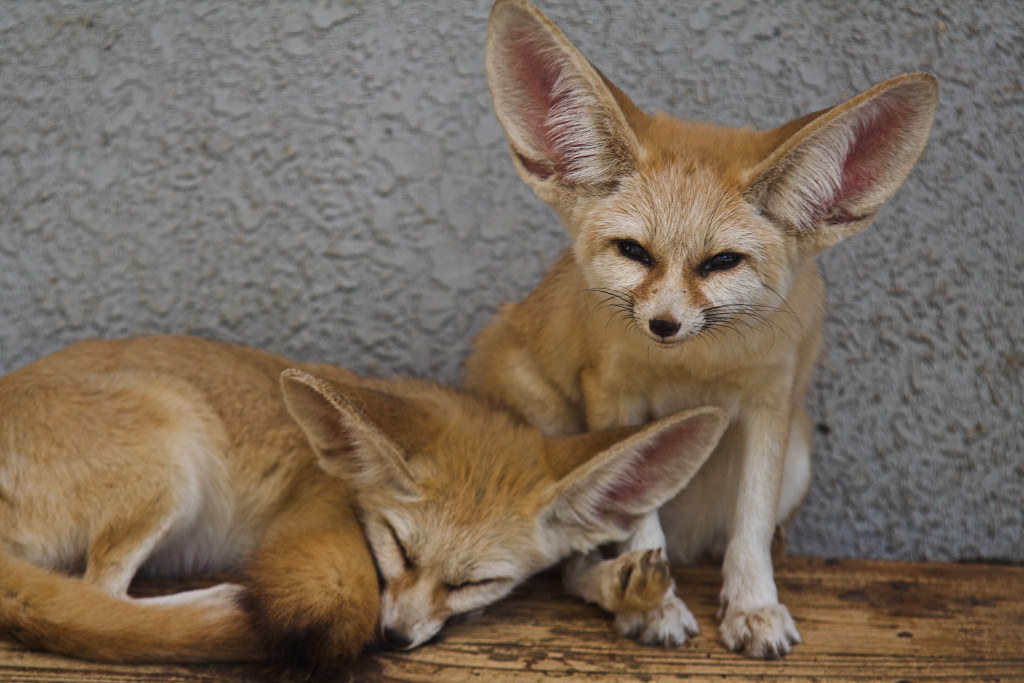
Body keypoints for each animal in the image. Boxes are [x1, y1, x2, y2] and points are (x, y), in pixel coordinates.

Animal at [0, 333, 729, 663]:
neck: (333, 471)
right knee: (100, 594)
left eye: (475, 583)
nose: (394, 637)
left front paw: (637, 593)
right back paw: (219, 606)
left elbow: (581, 573)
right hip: (173, 452)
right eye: (398, 548)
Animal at [464, 0, 937, 659]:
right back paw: (626, 588)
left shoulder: (771, 403)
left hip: (799, 455)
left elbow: (751, 527)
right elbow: (638, 511)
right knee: (565, 562)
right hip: (551, 425)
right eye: (634, 252)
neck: (695, 366)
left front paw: (754, 606)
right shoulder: (615, 395)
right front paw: (655, 603)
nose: (664, 323)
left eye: (721, 263)